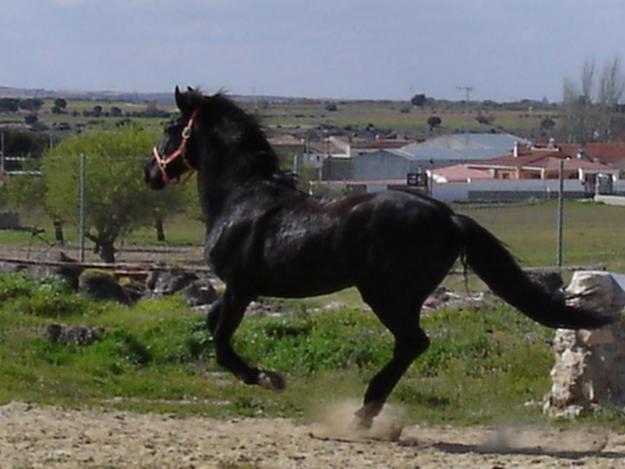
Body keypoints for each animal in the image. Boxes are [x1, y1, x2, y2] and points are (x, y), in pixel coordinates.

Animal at [145, 88, 616, 428]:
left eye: (172, 126)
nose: (150, 174)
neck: (242, 197)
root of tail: (448, 216)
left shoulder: (241, 287)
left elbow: (222, 344)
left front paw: (268, 378)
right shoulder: (239, 289)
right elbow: (213, 327)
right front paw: (266, 374)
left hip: (385, 294)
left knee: (412, 342)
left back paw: (364, 413)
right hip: (401, 296)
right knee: (411, 345)